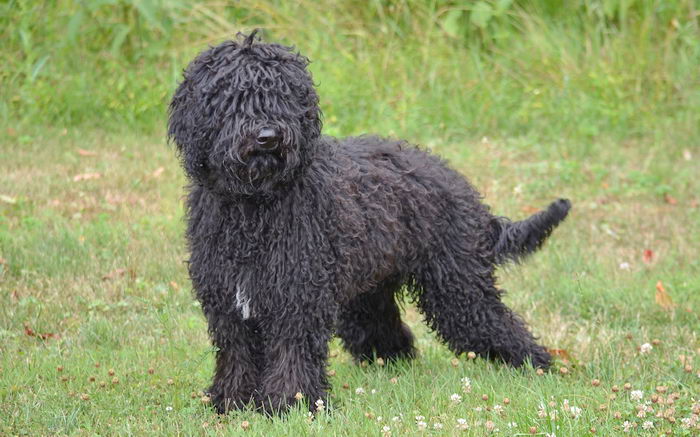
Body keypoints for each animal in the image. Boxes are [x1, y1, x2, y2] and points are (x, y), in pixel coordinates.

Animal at [167, 29, 572, 412]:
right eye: (233, 99)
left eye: (282, 97)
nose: (268, 136)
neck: (253, 208)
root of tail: (455, 180)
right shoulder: (227, 300)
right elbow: (236, 353)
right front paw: (230, 402)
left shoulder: (297, 295)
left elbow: (292, 351)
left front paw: (289, 404)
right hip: (370, 292)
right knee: (391, 333)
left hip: (458, 285)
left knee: (499, 325)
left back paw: (538, 367)